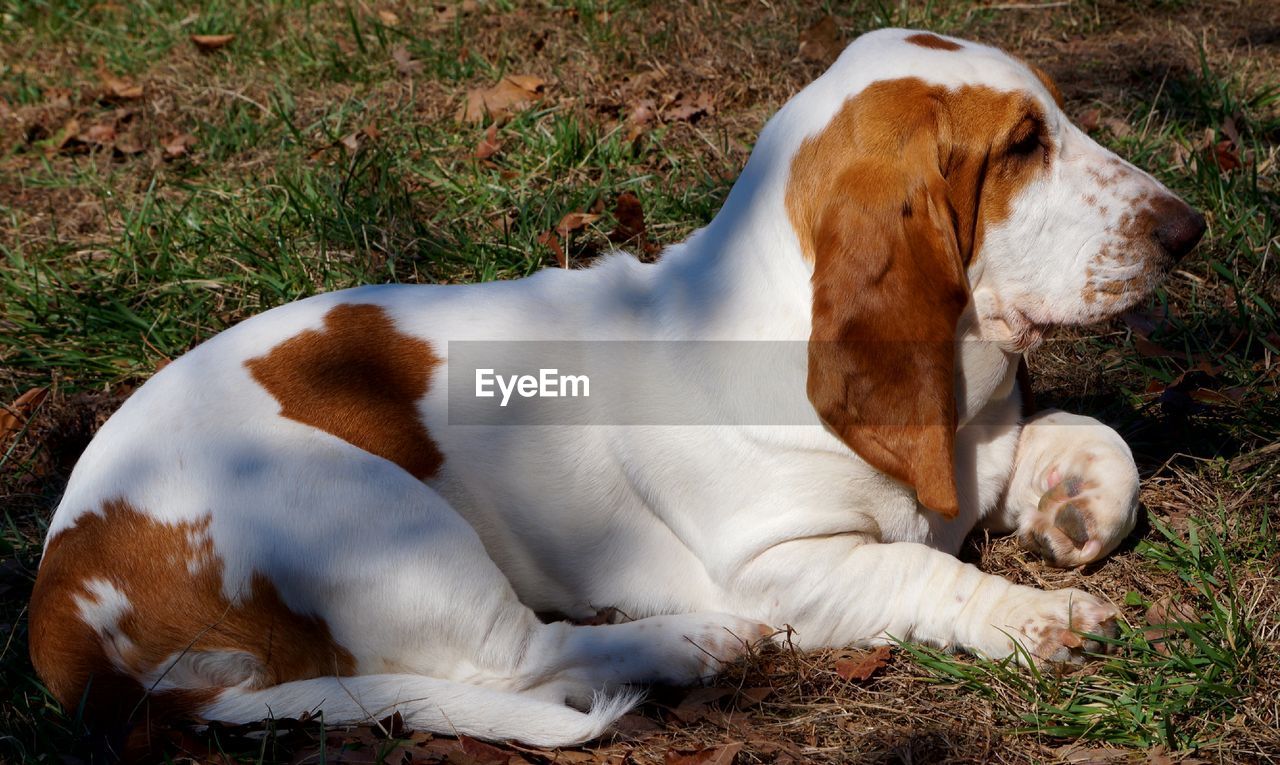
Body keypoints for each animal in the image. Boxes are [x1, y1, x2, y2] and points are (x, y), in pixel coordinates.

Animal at [32, 30, 1208, 747]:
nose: (1187, 229)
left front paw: (1074, 511)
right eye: (1022, 146)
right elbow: (925, 573)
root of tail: (63, 593)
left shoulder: (981, 446)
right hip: (369, 507)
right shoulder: (783, 566)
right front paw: (1037, 616)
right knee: (523, 658)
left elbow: (1094, 440)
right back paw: (692, 645)